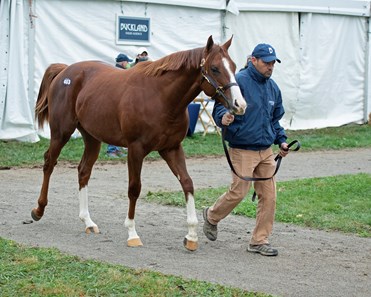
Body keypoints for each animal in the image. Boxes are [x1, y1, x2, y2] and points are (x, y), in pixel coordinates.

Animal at [32, 35, 247, 250]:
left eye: (234, 66)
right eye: (215, 68)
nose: (240, 105)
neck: (160, 97)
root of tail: (64, 70)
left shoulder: (171, 149)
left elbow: (187, 183)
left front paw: (192, 236)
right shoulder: (136, 149)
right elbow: (134, 189)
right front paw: (132, 233)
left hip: (92, 138)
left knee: (83, 171)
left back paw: (88, 221)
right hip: (61, 133)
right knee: (49, 163)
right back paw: (38, 209)